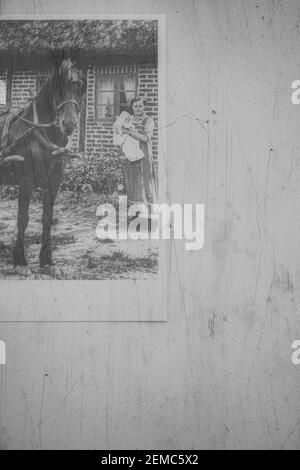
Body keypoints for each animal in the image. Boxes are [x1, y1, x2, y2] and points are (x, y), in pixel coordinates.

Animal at [0, 60, 86, 278]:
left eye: (80, 87)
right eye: (57, 87)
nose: (69, 124)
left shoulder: (53, 182)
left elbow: (47, 219)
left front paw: (48, 261)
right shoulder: (26, 182)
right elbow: (23, 219)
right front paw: (21, 262)